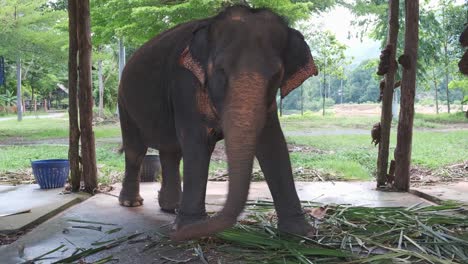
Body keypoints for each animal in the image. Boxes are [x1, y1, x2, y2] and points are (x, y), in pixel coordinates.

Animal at [118, 5, 318, 241]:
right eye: (221, 70)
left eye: (277, 75)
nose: (174, 236)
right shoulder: (185, 84)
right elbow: (196, 143)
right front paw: (189, 227)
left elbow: (273, 143)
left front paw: (301, 234)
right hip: (124, 103)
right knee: (136, 150)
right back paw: (132, 203)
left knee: (171, 151)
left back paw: (171, 207)